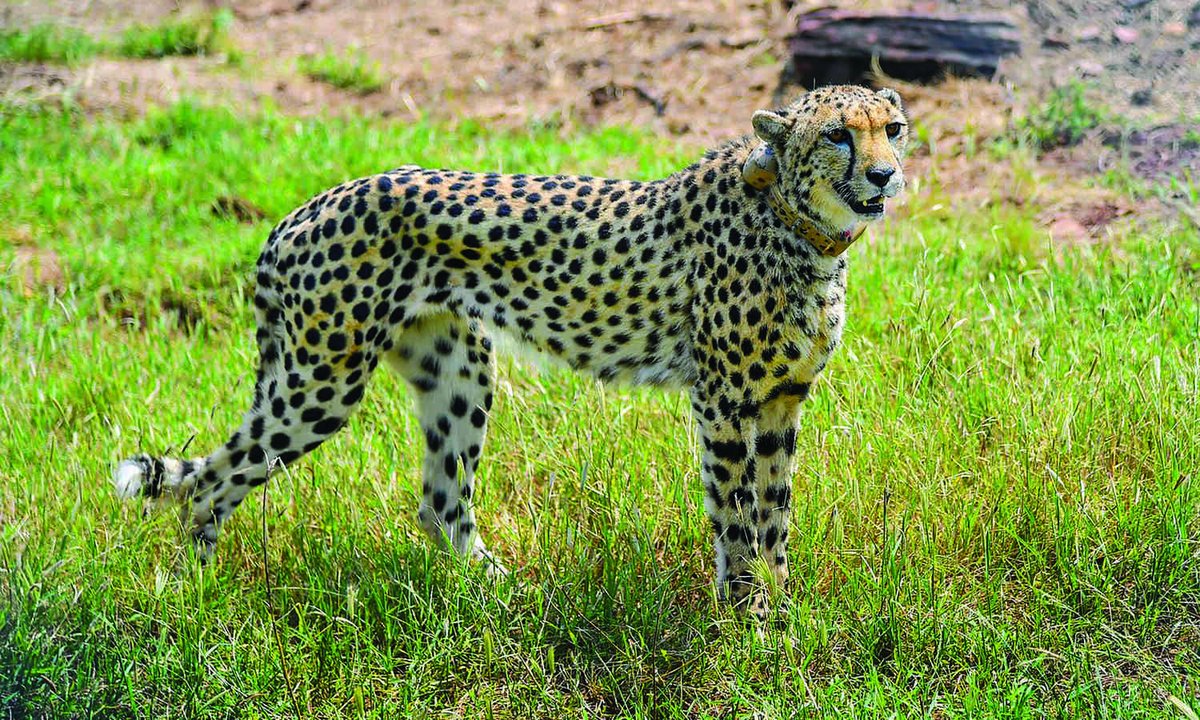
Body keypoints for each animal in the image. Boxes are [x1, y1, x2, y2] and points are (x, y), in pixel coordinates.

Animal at [113, 84, 909, 616]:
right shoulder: (723, 402)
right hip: (321, 382)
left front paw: (785, 608)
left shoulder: (781, 400)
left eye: (893, 128)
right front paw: (749, 619)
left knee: (441, 501)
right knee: (214, 481)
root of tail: (303, 209)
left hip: (457, 369)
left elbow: (775, 514)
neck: (802, 228)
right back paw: (190, 593)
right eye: (838, 135)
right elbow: (737, 518)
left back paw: (502, 595)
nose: (884, 174)